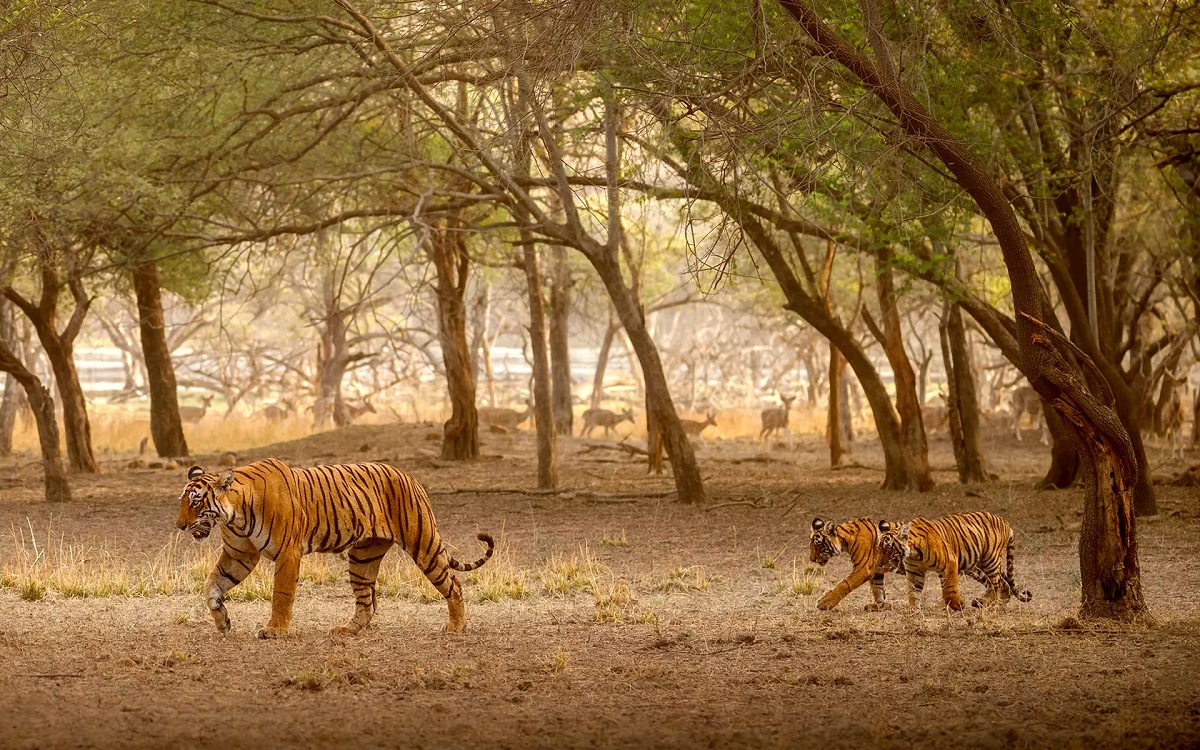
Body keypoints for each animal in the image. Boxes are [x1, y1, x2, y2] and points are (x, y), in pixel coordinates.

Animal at [175, 456, 494, 638]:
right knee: (366, 603)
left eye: (196, 501)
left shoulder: (287, 553)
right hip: (363, 557)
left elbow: (281, 595)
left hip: (423, 543)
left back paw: (456, 627)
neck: (235, 514)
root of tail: (409, 476)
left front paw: (275, 630)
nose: (179, 526)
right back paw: (346, 631)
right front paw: (222, 621)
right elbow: (212, 585)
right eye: (182, 501)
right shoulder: (239, 555)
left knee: (454, 584)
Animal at [878, 508, 1036, 609]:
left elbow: (948, 590)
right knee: (1002, 582)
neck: (913, 554)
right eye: (878, 548)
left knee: (996, 584)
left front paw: (958, 604)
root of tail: (1005, 522)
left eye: (888, 549)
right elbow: (912, 593)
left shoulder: (949, 563)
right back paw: (992, 604)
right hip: (975, 566)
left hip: (989, 560)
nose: (878, 564)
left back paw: (988, 604)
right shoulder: (915, 572)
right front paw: (913, 613)